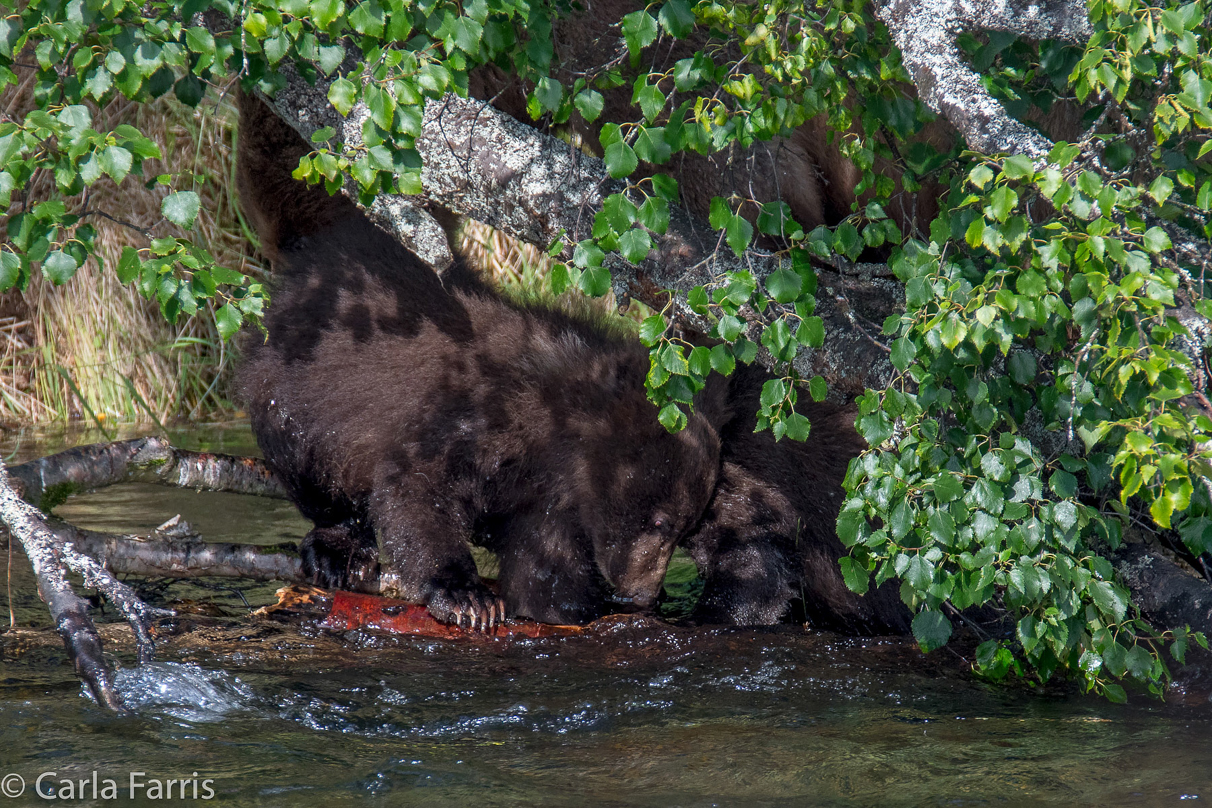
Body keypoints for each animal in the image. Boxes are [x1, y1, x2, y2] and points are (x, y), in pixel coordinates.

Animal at [236, 91, 722, 629]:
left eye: (685, 529)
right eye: (660, 520)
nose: (642, 592)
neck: (555, 433)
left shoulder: (550, 495)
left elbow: (544, 560)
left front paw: (568, 603)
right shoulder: (470, 413)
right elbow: (415, 488)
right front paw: (467, 595)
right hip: (295, 388)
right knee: (308, 467)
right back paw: (338, 548)